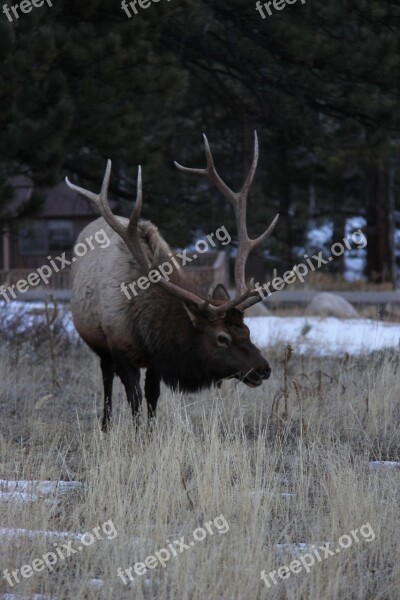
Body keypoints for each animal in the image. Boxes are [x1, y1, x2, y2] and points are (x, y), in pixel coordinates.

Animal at [65, 133, 278, 428]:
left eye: (246, 331)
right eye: (222, 338)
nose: (263, 369)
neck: (146, 326)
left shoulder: (157, 360)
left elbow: (152, 398)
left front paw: (151, 433)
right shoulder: (120, 348)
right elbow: (134, 400)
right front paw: (137, 434)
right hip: (98, 343)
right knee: (106, 378)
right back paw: (105, 426)